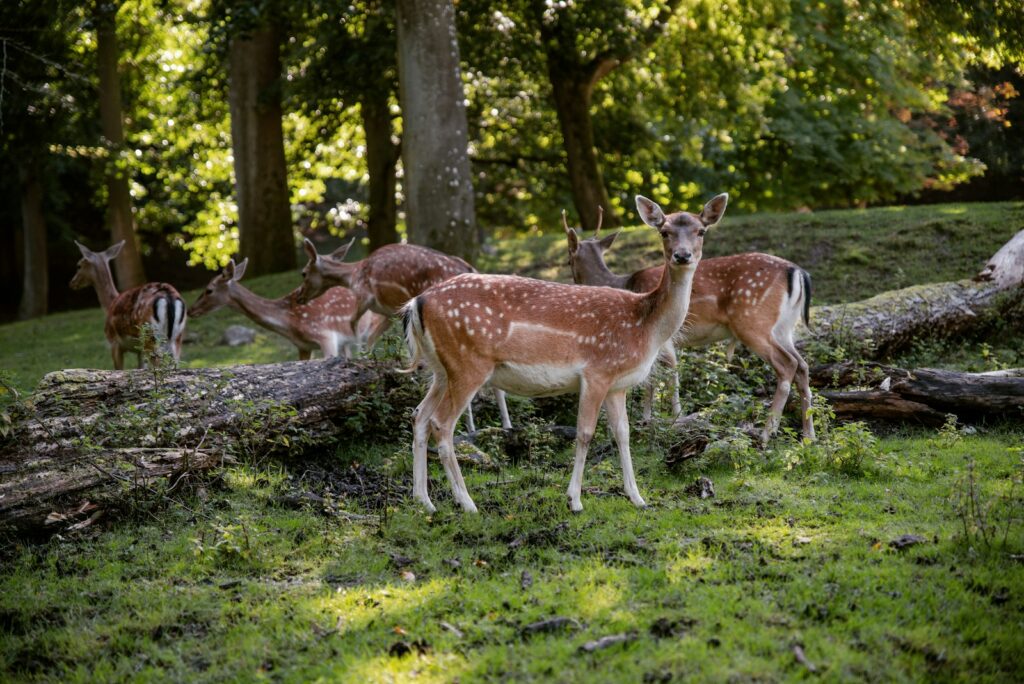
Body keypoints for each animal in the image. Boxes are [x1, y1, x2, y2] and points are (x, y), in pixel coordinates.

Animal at [69, 240, 187, 370]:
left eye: (79, 266)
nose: (72, 283)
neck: (110, 304)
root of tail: (168, 296)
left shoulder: (114, 343)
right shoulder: (139, 351)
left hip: (150, 335)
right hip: (177, 337)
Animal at [296, 239, 511, 431]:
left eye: (303, 273)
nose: (299, 296)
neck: (353, 276)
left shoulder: (365, 296)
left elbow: (355, 327)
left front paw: (356, 358)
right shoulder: (390, 312)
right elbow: (373, 338)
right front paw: (372, 361)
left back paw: (473, 427)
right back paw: (505, 425)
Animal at [401, 192, 728, 513]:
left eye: (701, 230)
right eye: (664, 231)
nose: (682, 256)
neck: (644, 326)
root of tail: (416, 302)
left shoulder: (617, 384)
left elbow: (623, 433)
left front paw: (637, 498)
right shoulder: (597, 371)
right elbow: (585, 433)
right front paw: (575, 500)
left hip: (441, 369)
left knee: (419, 415)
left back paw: (424, 501)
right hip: (468, 364)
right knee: (441, 423)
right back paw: (467, 503)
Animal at [565, 207, 815, 442]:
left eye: (568, 260)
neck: (623, 284)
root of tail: (798, 272)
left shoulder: (660, 338)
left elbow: (665, 374)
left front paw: (665, 418)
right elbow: (657, 376)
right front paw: (653, 417)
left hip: (753, 321)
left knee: (788, 364)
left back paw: (766, 433)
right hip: (784, 328)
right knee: (802, 365)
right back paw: (808, 435)